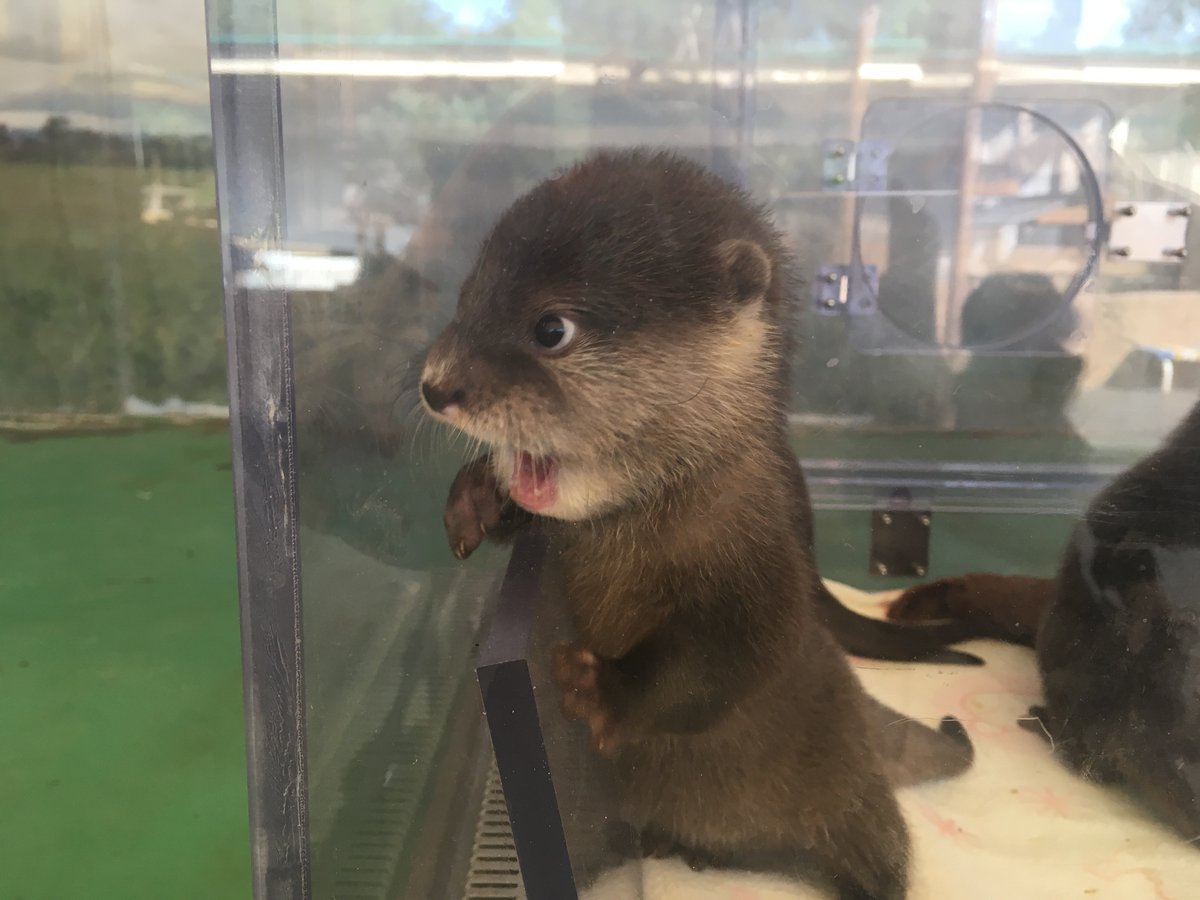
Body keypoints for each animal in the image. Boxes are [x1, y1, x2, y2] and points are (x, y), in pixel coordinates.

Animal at [422, 151, 974, 897]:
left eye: (551, 329)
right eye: (466, 299)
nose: (435, 385)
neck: (657, 526)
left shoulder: (764, 572)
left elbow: (726, 662)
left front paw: (604, 690)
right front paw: (479, 495)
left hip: (855, 794)